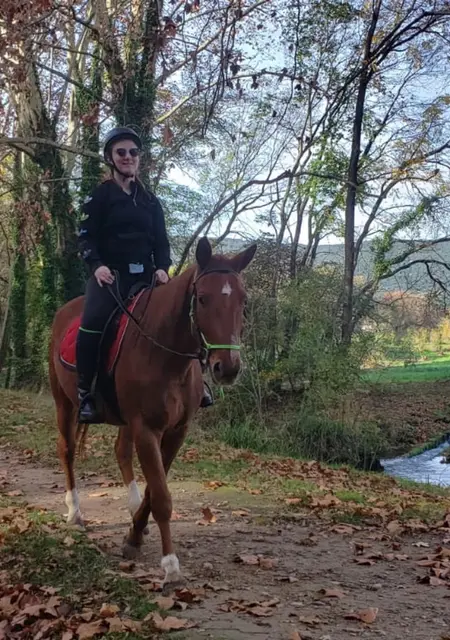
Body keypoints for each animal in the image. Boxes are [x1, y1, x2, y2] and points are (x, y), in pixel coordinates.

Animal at [48, 237, 256, 590]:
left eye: (243, 301)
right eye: (203, 298)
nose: (227, 368)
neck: (166, 356)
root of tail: (65, 311)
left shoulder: (175, 431)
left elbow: (153, 487)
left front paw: (135, 533)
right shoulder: (146, 428)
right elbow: (160, 496)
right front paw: (170, 565)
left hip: (123, 420)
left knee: (121, 451)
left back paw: (132, 513)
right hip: (65, 402)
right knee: (68, 451)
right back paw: (75, 512)